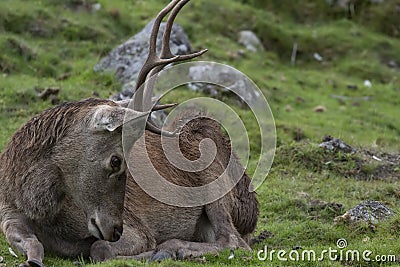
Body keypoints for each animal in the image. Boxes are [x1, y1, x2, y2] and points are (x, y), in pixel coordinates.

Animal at [0, 1, 258, 266]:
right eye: (116, 160)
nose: (116, 230)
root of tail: (253, 210)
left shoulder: (137, 229)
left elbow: (100, 248)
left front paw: (155, 251)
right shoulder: (9, 216)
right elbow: (30, 244)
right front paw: (32, 260)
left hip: (215, 180)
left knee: (235, 242)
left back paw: (174, 248)